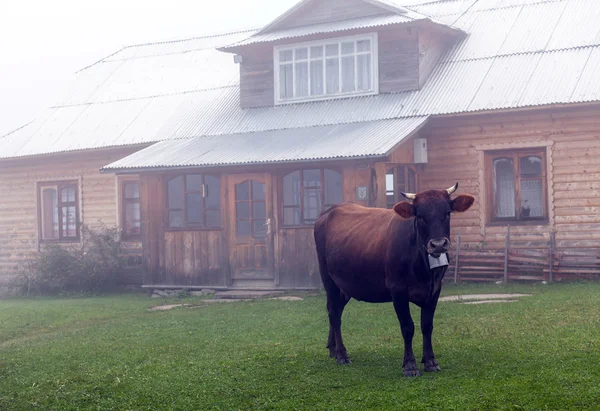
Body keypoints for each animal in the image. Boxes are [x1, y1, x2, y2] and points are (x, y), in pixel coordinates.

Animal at [314, 183, 474, 376]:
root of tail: (328, 212)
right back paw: (341, 355)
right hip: (328, 278)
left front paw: (430, 361)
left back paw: (332, 348)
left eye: (448, 212)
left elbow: (427, 325)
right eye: (419, 215)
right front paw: (410, 365)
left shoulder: (435, 289)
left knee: (334, 309)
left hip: (345, 285)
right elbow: (407, 327)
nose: (438, 244)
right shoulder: (397, 290)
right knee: (334, 314)